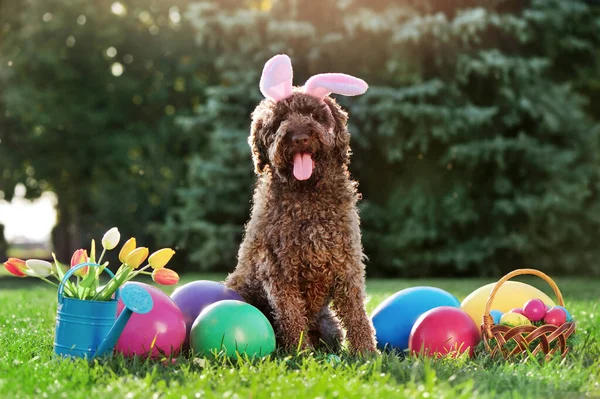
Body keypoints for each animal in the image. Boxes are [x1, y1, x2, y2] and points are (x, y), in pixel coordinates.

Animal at [225, 54, 376, 354]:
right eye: (280, 119)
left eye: (314, 115)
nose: (300, 137)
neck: (307, 196)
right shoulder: (278, 270)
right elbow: (291, 314)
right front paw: (299, 354)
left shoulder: (347, 263)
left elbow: (355, 311)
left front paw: (367, 353)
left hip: (329, 326)